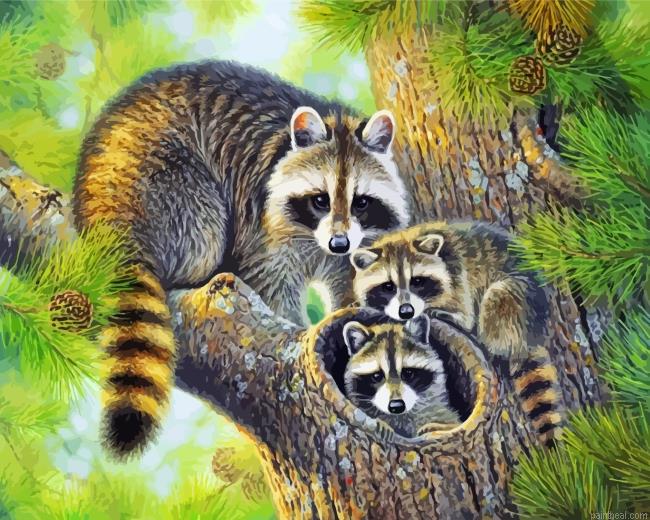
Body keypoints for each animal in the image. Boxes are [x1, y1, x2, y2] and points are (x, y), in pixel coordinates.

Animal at [74, 61, 409, 458]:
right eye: (320, 200)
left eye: (360, 202)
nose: (339, 243)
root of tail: (104, 196)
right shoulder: (263, 217)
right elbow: (271, 281)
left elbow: (353, 283)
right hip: (167, 179)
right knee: (203, 232)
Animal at [350, 221, 549, 361]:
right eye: (388, 286)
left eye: (417, 281)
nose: (406, 311)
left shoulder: (459, 275)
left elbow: (466, 316)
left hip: (522, 299)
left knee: (499, 294)